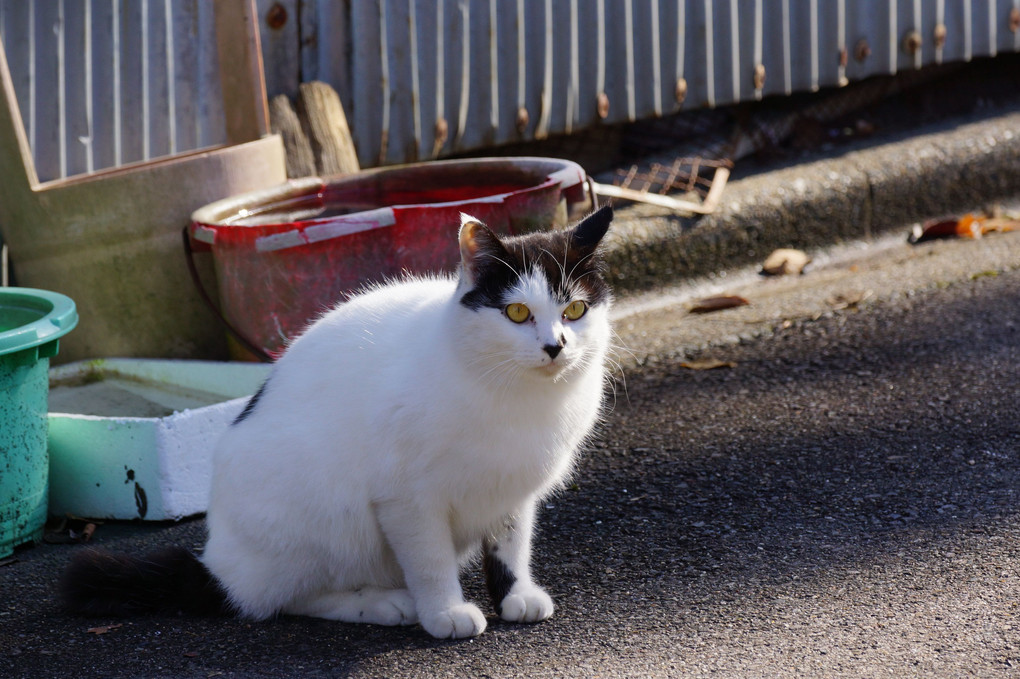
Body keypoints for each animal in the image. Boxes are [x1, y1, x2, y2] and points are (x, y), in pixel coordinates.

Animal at [61, 203, 612, 636]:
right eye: (517, 313)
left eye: (575, 310)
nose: (555, 346)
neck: (519, 398)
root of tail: (216, 562)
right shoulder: (406, 497)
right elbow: (430, 560)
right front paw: (445, 613)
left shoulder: (512, 488)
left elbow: (511, 545)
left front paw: (515, 596)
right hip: (323, 515)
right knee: (280, 599)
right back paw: (383, 604)